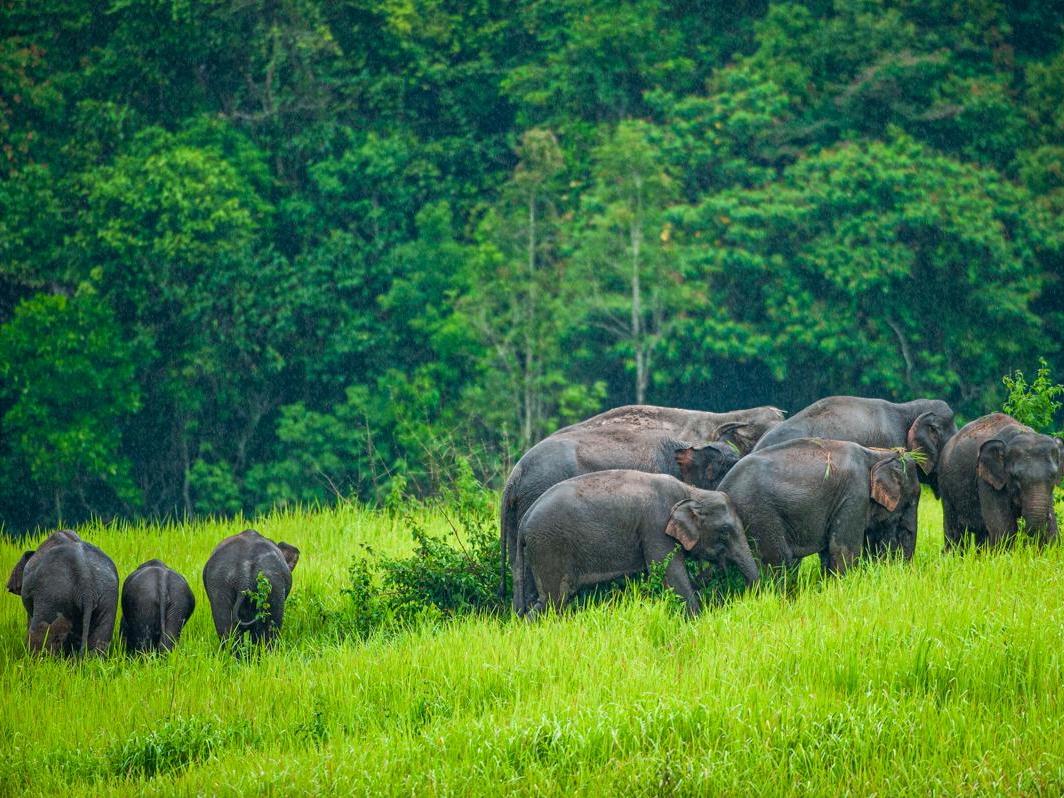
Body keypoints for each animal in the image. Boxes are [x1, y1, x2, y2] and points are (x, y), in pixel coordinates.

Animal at [513, 469, 759, 617]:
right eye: (725, 531)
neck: (691, 491)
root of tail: (524, 520)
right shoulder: (656, 526)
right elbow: (672, 575)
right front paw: (695, 620)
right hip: (549, 545)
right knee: (554, 600)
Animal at [718, 438, 922, 574]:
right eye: (911, 500)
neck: (878, 453)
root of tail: (723, 487)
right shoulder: (854, 494)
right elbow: (844, 550)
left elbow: (828, 552)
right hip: (759, 514)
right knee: (778, 559)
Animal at [939, 413, 1064, 549]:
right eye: (1015, 476)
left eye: (1053, 476)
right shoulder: (986, 480)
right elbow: (1003, 528)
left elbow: (1052, 530)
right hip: (945, 484)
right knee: (954, 528)